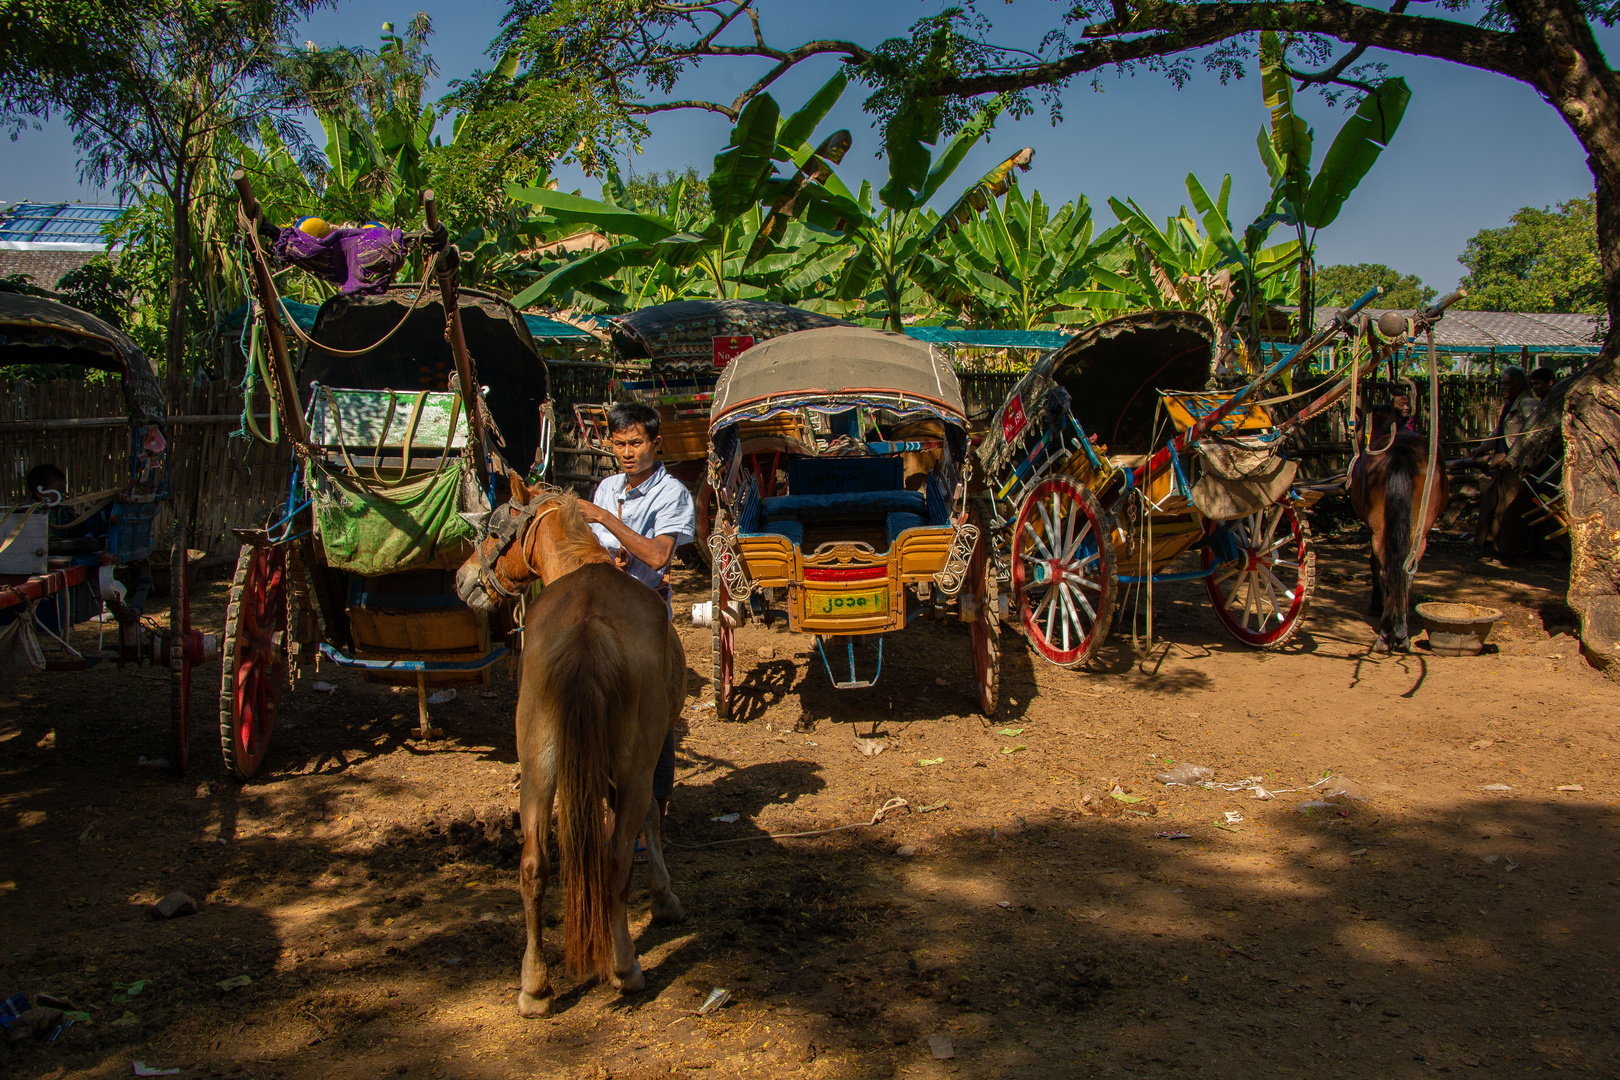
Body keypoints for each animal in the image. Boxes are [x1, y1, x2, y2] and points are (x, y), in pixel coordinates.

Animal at [453, 476, 686, 1016]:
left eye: (493, 528)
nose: (462, 579)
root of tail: (587, 624)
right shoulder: (632, 765)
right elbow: (648, 819)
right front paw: (663, 899)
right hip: (633, 764)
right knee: (616, 856)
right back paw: (624, 966)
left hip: (538, 768)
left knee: (533, 865)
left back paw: (534, 985)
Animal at [1347, 403, 1451, 650]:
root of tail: (1402, 451)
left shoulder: (1371, 528)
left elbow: (1373, 563)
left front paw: (1376, 604)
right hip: (1420, 532)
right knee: (1404, 571)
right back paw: (1399, 633)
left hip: (1384, 530)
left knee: (1390, 570)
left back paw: (1389, 633)